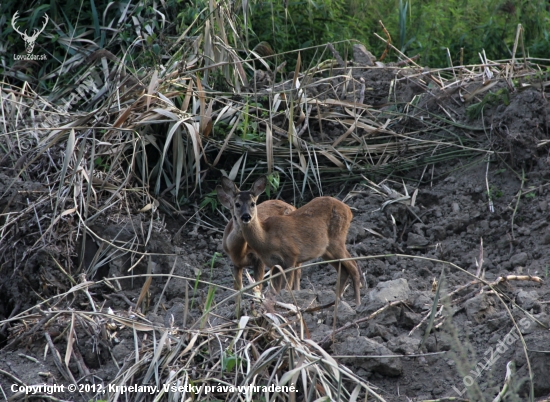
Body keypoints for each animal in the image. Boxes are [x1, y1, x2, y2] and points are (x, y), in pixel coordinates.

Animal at [220, 176, 366, 304]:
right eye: (237, 204)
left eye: (253, 203)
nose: (246, 216)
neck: (266, 238)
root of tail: (348, 210)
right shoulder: (274, 264)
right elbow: (275, 290)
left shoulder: (291, 255)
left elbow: (285, 288)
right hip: (326, 251)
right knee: (345, 269)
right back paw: (337, 303)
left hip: (337, 240)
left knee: (354, 266)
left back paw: (358, 304)